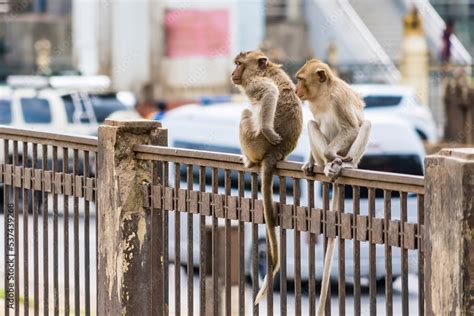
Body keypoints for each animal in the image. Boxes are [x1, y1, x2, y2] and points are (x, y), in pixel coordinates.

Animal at [232, 50, 306, 304]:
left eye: (239, 64)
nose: (232, 73)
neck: (266, 68)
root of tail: (276, 153)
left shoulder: (254, 83)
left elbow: (269, 93)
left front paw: (267, 129)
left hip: (253, 142)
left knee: (245, 113)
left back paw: (249, 160)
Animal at [294, 58, 372, 314]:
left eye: (300, 79)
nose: (296, 90)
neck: (324, 94)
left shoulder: (338, 99)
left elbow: (352, 128)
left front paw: (333, 156)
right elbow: (313, 122)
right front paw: (309, 161)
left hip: (352, 153)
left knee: (364, 125)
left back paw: (341, 164)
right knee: (312, 124)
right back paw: (324, 165)